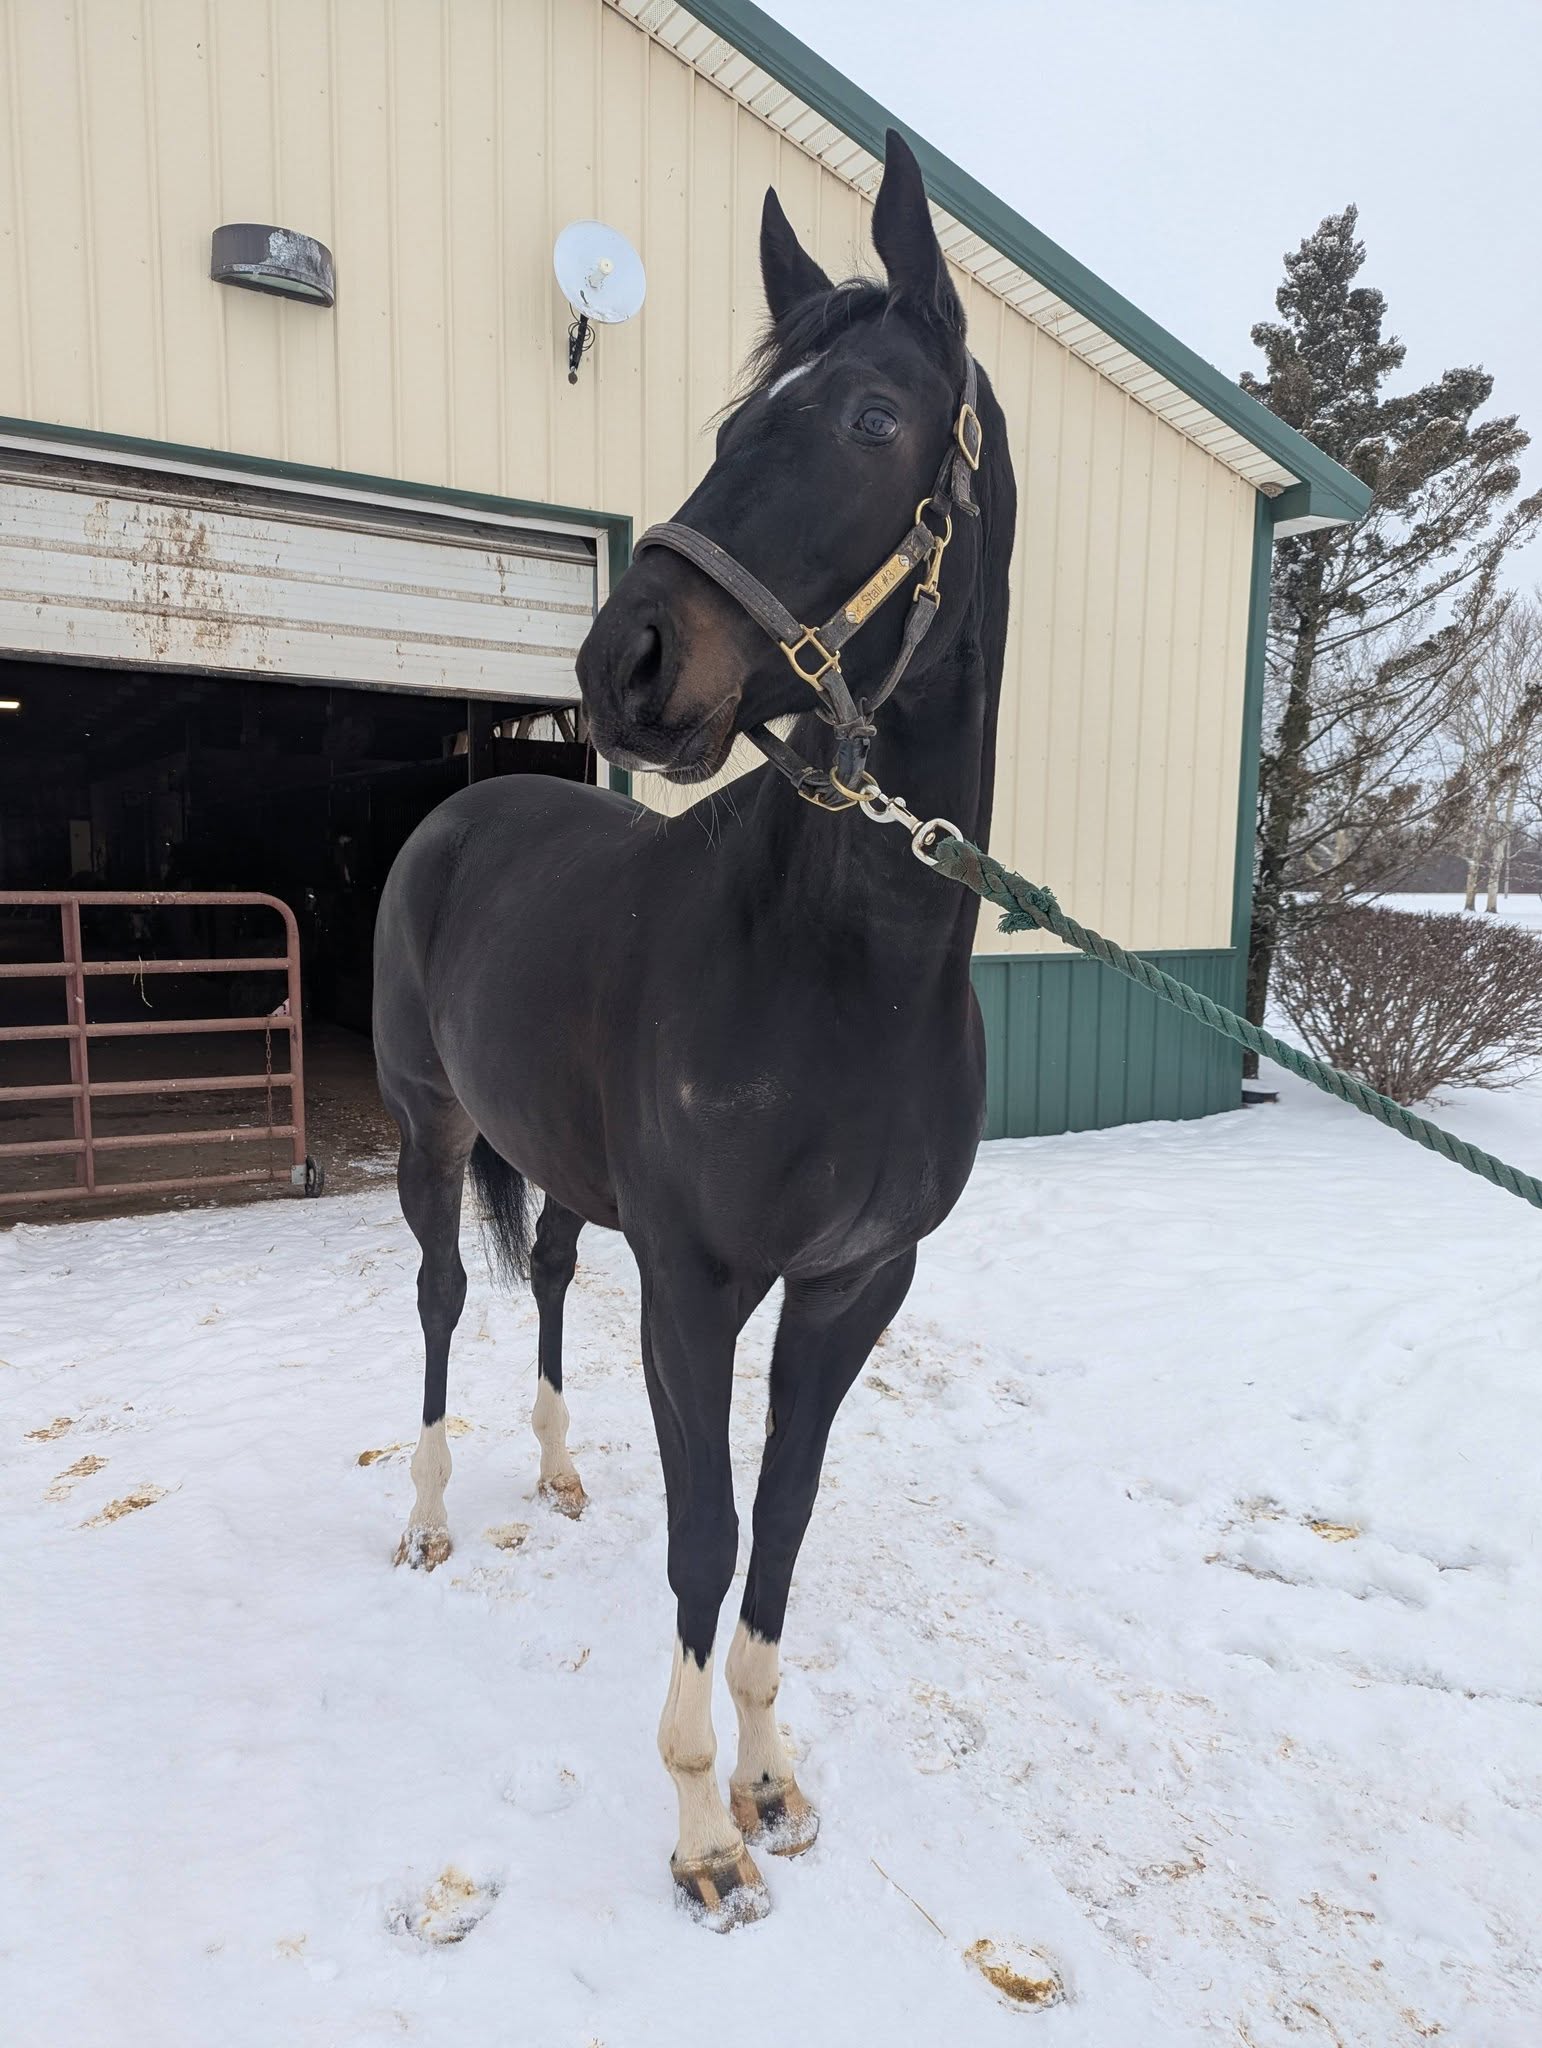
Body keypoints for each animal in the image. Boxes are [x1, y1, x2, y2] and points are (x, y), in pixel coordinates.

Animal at [372, 128, 1016, 1928]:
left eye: (870, 418)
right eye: (733, 427)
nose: (626, 661)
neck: (843, 972)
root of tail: (466, 812)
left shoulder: (853, 1287)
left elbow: (779, 1529)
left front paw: (770, 1780)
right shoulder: (697, 1287)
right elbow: (706, 1537)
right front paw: (699, 1831)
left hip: (558, 1171)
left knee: (539, 1278)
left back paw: (553, 1468)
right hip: (427, 1127)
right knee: (446, 1298)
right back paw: (433, 1513)